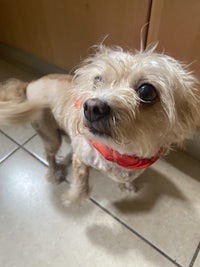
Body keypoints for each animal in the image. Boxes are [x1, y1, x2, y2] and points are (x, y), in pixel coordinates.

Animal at [0, 46, 200, 205]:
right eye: (97, 79)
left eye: (146, 91)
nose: (92, 107)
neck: (119, 153)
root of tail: (30, 83)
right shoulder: (81, 161)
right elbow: (81, 182)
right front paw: (74, 197)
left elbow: (127, 179)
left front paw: (127, 186)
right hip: (49, 134)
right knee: (49, 155)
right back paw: (55, 172)